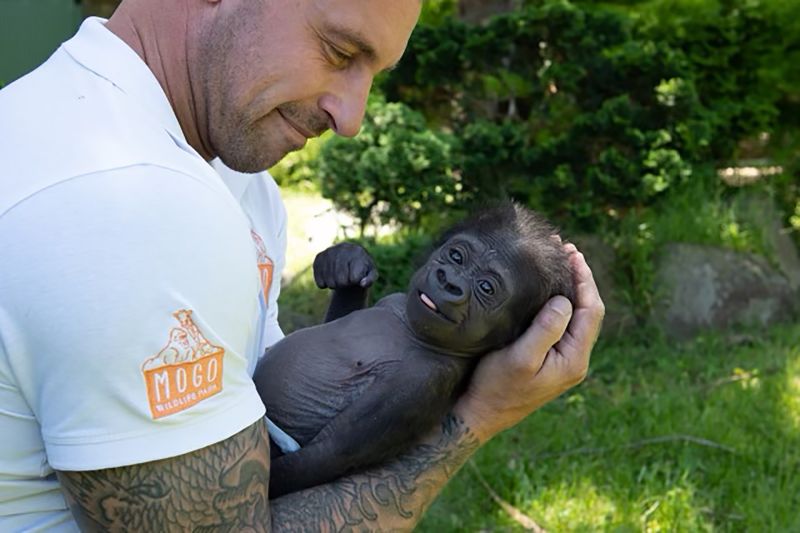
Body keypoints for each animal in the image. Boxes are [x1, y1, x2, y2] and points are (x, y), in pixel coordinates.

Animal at [253, 202, 575, 498]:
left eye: (486, 288)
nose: (450, 282)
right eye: (457, 256)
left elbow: (329, 452)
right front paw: (347, 268)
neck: (414, 331)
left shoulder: (424, 379)